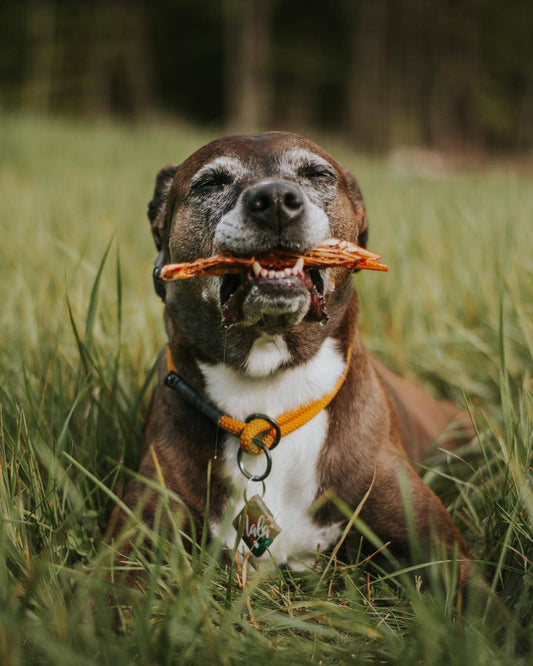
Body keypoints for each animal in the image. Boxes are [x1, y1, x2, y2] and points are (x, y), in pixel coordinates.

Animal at [107, 131, 470, 580]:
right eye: (209, 183)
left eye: (318, 174)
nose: (276, 199)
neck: (269, 382)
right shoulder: (134, 538)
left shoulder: (439, 546)